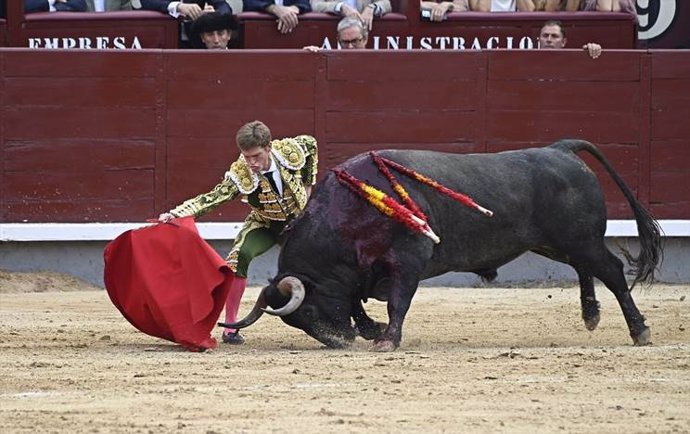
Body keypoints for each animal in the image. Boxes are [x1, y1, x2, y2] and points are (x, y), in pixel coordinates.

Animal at [220, 141, 660, 350]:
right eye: (298, 322)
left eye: (309, 311)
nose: (339, 343)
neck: (350, 210)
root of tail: (560, 149)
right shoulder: (361, 272)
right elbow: (357, 302)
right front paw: (371, 330)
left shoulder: (408, 261)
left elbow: (398, 301)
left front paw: (386, 339)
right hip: (558, 242)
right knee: (585, 268)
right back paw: (591, 316)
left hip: (580, 238)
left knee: (611, 272)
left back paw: (639, 331)